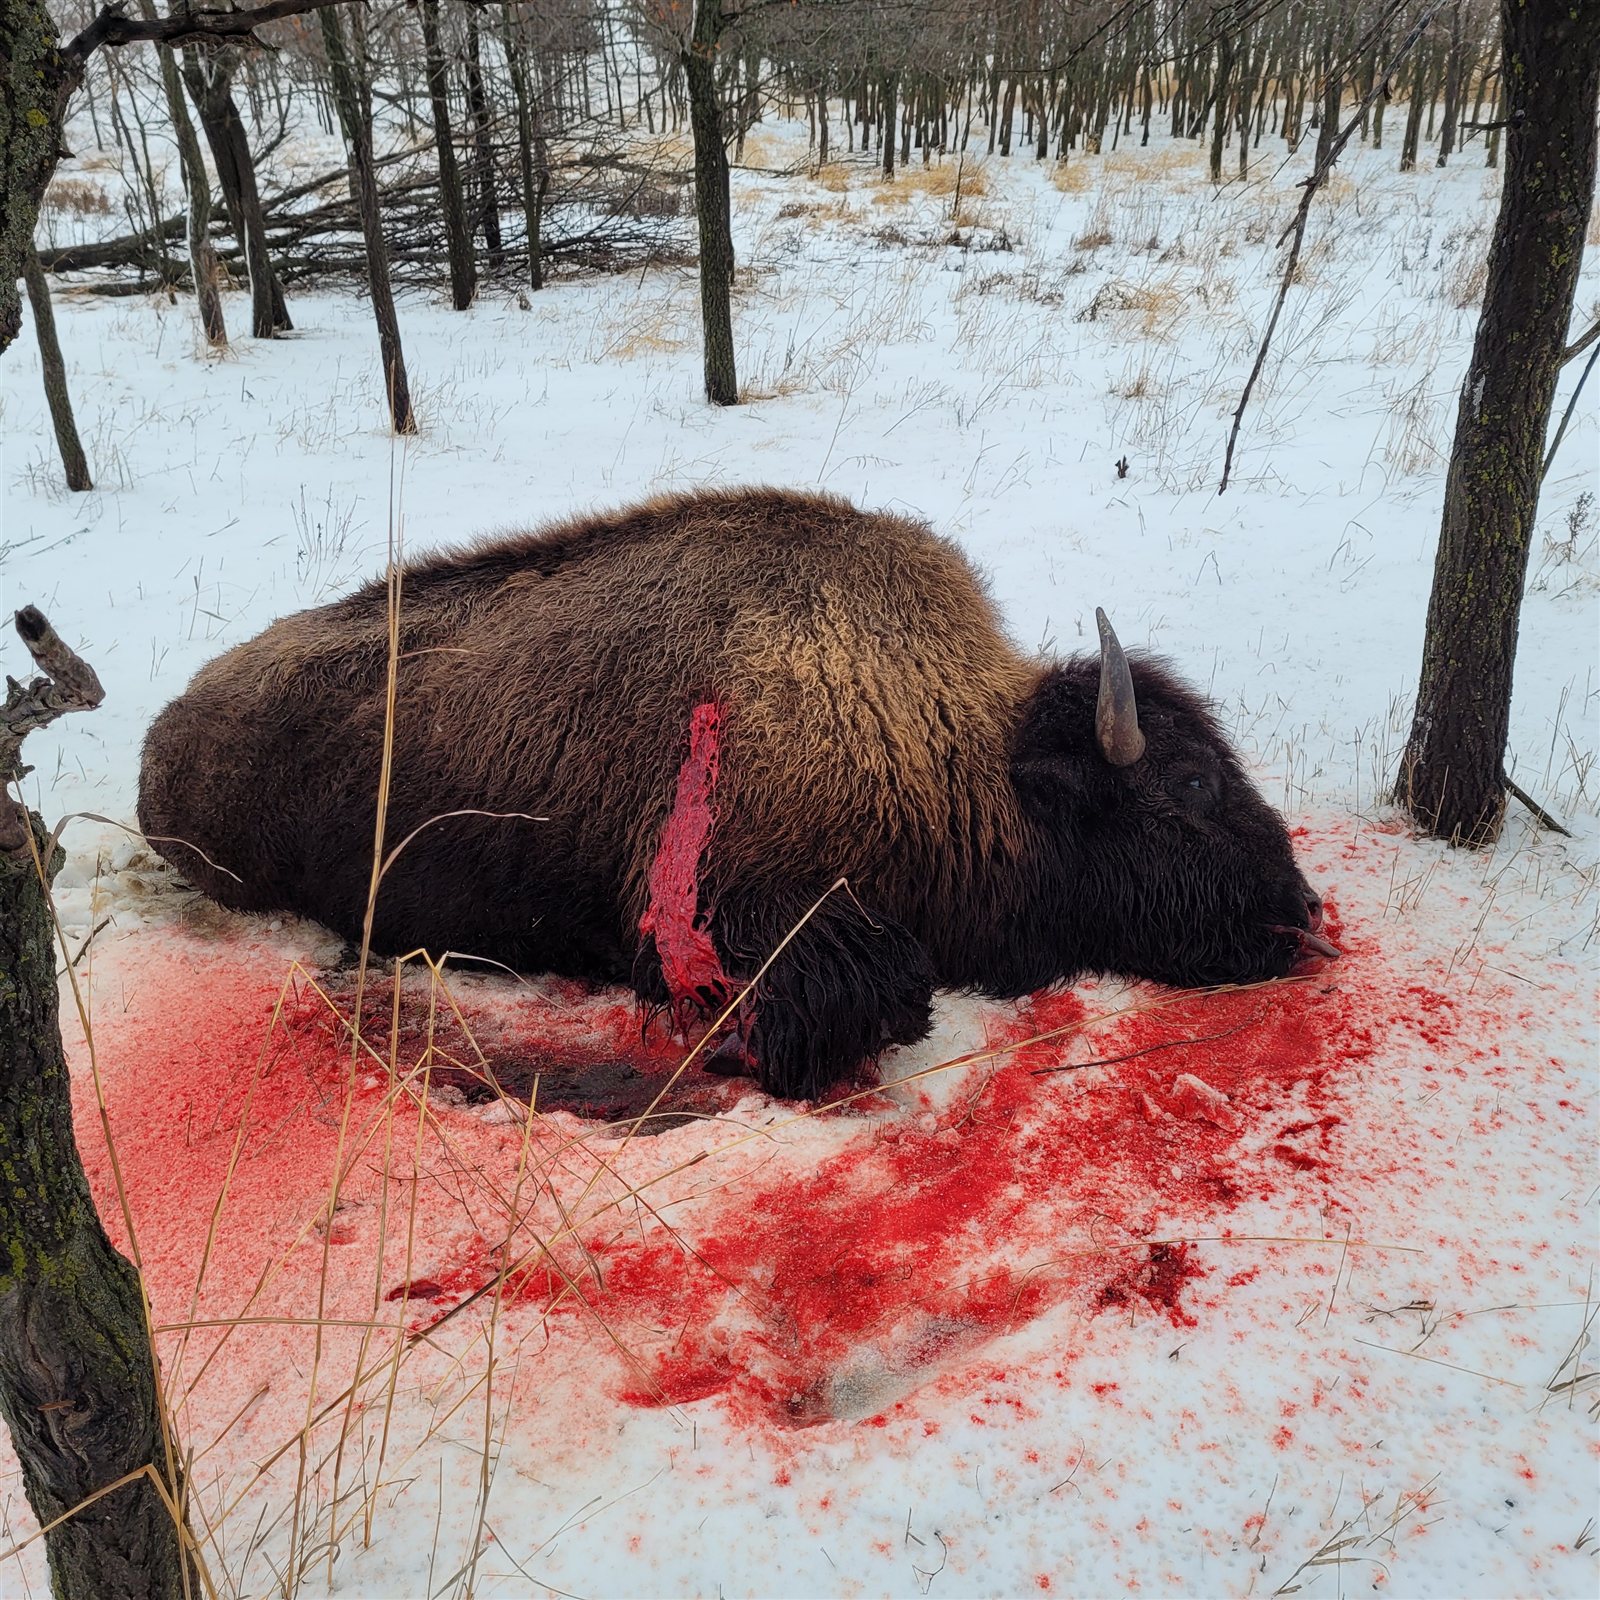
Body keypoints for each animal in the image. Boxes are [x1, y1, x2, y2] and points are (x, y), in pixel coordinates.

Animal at [138, 488, 1333, 1098]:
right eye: (1191, 780)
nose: (1302, 914)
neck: (967, 756)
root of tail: (160, 741)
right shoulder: (736, 907)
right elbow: (885, 988)